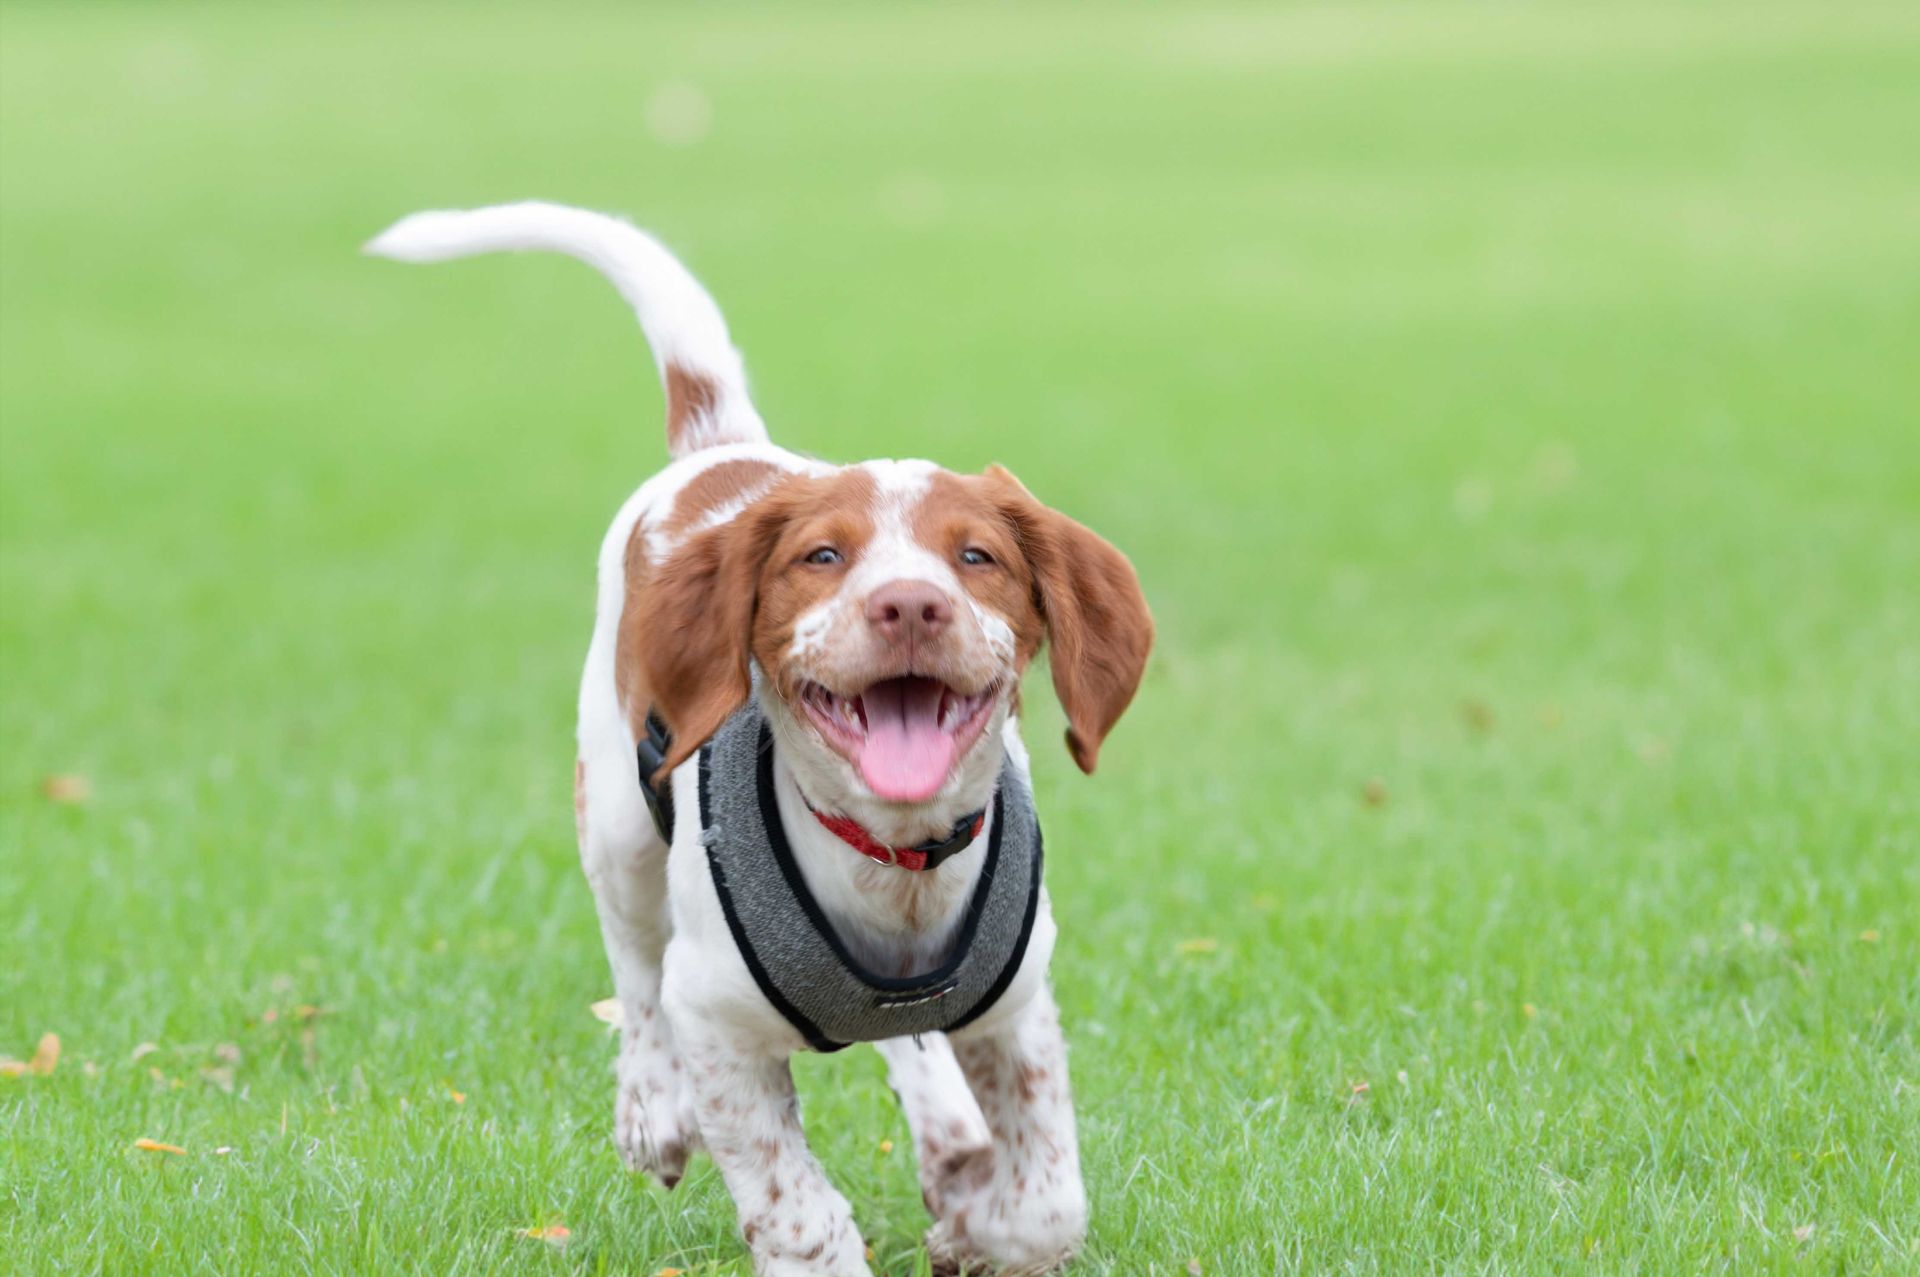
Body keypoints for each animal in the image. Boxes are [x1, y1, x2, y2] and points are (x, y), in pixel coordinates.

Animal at [370, 204, 1152, 1267]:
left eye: (976, 556)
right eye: (821, 556)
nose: (911, 605)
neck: (889, 860)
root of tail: (724, 446)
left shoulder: (1019, 1012)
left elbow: (1045, 1204)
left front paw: (973, 1221)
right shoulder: (716, 1029)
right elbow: (794, 1202)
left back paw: (951, 1136)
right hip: (615, 815)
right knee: (632, 961)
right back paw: (652, 1110)